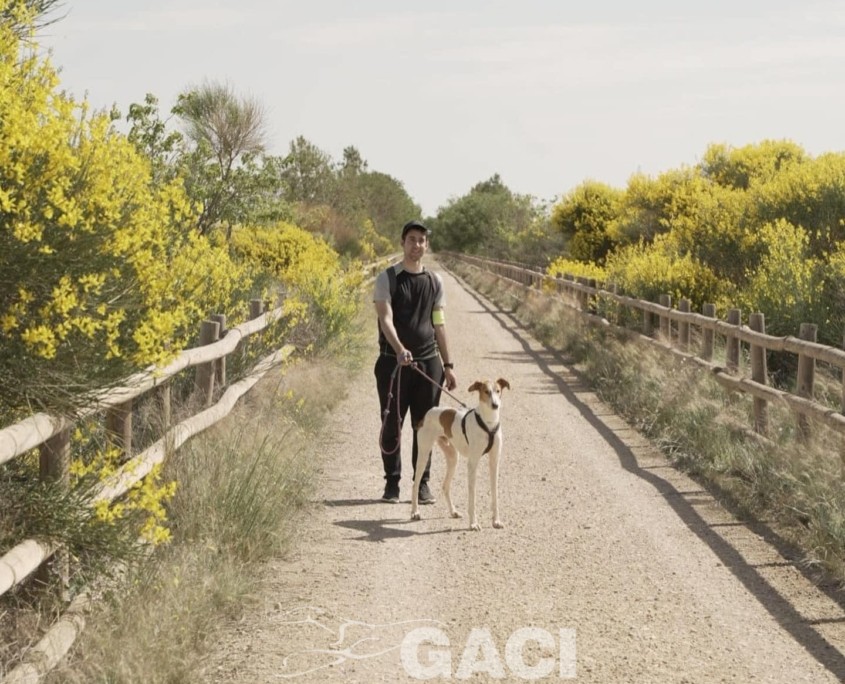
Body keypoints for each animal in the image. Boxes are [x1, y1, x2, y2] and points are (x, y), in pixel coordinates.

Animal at [410, 378, 510, 531]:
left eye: (498, 391)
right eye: (486, 391)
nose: (495, 405)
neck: (488, 423)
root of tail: (429, 412)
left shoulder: (494, 462)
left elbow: (495, 494)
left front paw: (496, 521)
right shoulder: (472, 464)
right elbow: (472, 496)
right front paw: (473, 523)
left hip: (452, 458)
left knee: (445, 486)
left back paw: (453, 511)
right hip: (423, 454)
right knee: (415, 484)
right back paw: (415, 512)